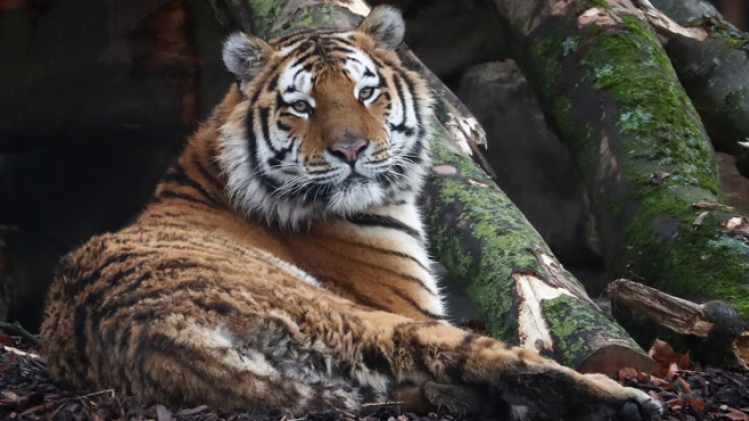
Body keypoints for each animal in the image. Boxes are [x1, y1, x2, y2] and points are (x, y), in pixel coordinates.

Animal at [40, 6, 662, 421]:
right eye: (301, 105)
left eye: (366, 93)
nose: (351, 150)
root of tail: (149, 331)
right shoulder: (408, 303)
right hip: (364, 318)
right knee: (491, 360)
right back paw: (623, 400)